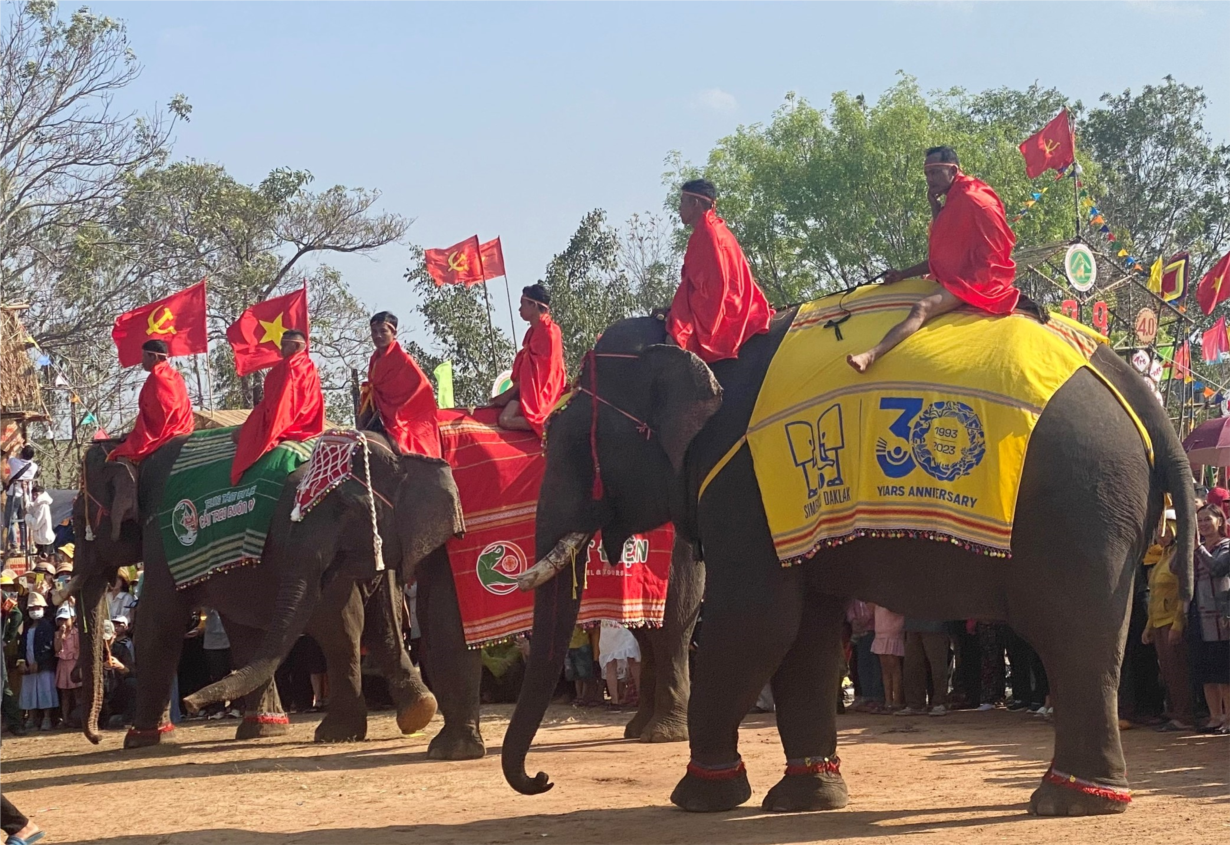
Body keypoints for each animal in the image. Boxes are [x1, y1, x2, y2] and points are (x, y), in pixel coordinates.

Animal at [76, 432, 462, 752]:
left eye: (80, 519)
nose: (95, 737)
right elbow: (245, 630)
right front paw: (264, 729)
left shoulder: (160, 540)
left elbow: (157, 623)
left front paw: (140, 741)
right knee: (383, 621)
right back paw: (417, 713)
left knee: (340, 627)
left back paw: (336, 732)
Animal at [179, 430, 708, 762]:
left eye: (343, 508)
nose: (187, 702)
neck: (405, 450)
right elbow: (433, 629)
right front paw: (450, 746)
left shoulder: (463, 538)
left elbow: (447, 629)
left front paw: (448, 753)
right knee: (651, 632)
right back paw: (640, 731)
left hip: (675, 549)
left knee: (670, 629)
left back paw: (660, 734)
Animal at [496, 312, 1190, 821]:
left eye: (566, 443)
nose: (542, 777)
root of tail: (1133, 385)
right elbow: (806, 636)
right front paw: (805, 801)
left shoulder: (744, 488)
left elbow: (752, 626)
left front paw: (701, 800)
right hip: (1105, 511)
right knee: (1093, 643)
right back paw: (1082, 799)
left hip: (1080, 505)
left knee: (1072, 640)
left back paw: (1068, 802)